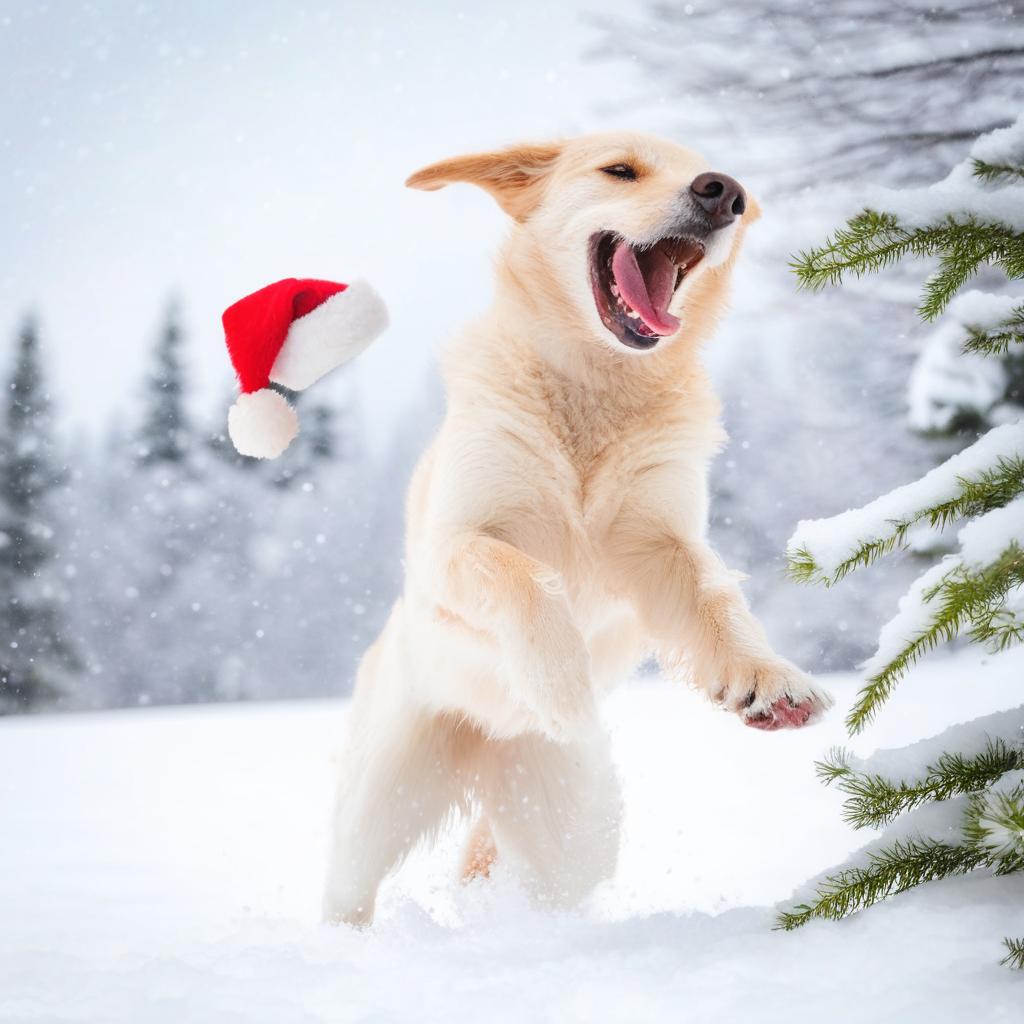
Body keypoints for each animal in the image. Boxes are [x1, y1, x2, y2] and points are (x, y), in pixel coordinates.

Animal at [323, 130, 827, 929]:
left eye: (719, 181)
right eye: (620, 170)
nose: (724, 192)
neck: (597, 384)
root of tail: (490, 739)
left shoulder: (659, 544)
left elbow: (716, 601)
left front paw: (769, 680)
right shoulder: (455, 544)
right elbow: (526, 576)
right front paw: (562, 685)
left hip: (569, 839)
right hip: (377, 807)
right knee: (349, 891)